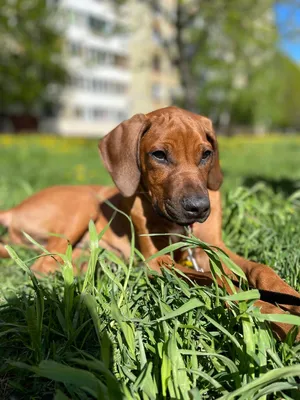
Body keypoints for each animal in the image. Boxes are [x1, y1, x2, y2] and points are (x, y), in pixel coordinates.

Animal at [0, 107, 300, 340]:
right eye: (159, 155)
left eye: (206, 154)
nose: (198, 208)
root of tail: (15, 209)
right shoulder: (158, 261)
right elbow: (218, 279)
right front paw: (272, 314)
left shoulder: (214, 248)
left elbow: (260, 269)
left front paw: (287, 297)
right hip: (83, 204)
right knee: (44, 265)